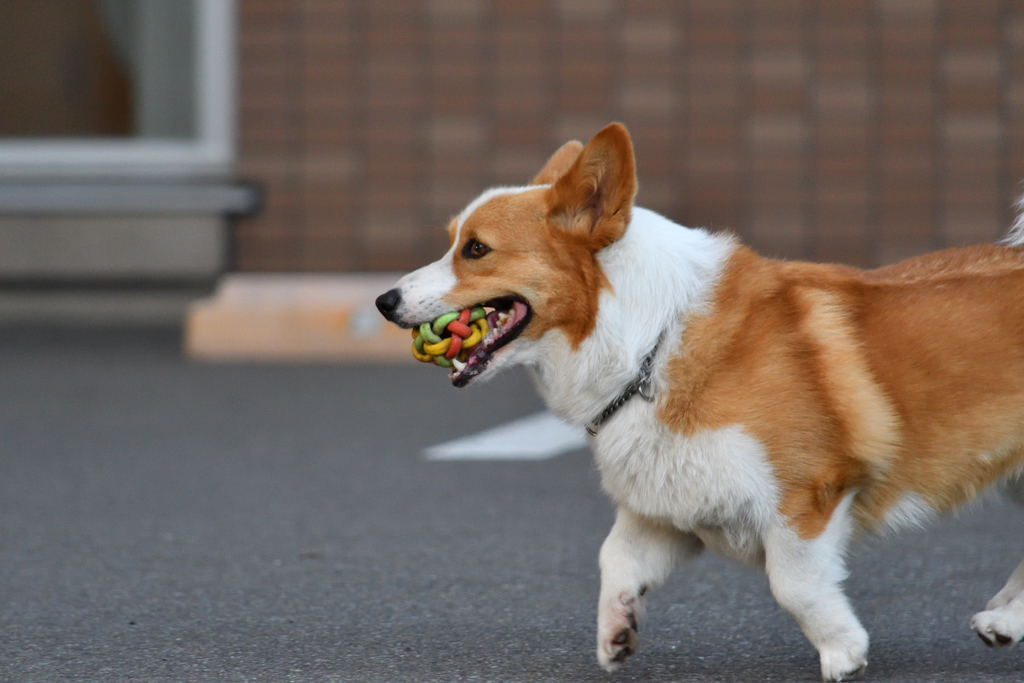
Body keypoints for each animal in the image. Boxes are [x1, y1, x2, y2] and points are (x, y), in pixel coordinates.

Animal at [374, 124, 1024, 683]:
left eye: (477, 250)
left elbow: (793, 586)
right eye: (453, 242)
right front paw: (616, 633)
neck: (648, 344)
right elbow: (615, 559)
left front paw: (843, 651)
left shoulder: (805, 495)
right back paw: (1004, 620)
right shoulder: (668, 508)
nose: (384, 301)